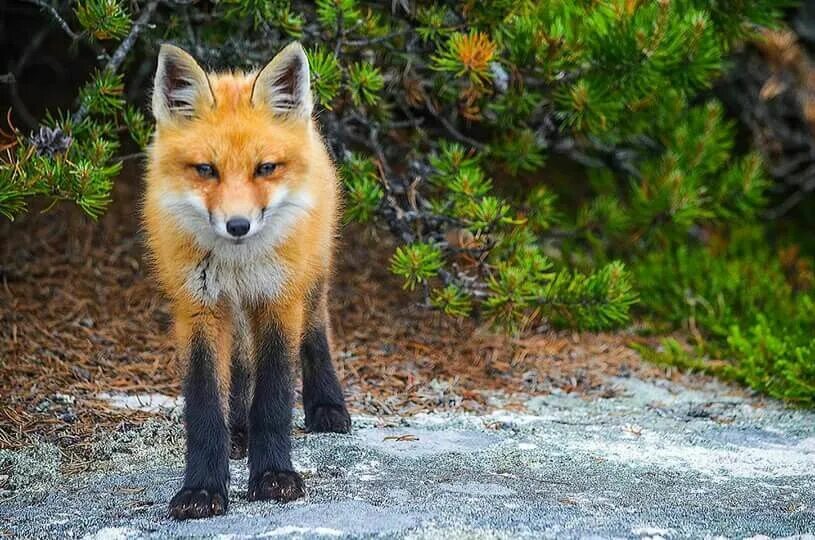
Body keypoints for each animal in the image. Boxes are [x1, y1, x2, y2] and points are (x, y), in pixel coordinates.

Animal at [143, 40, 350, 520]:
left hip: (311, 278)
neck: (237, 265)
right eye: (206, 170)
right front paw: (202, 488)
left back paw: (327, 405)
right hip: (231, 314)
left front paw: (274, 476)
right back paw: (238, 432)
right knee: (237, 371)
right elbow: (205, 407)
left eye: (265, 168)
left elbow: (272, 399)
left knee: (316, 335)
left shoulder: (279, 301)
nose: (238, 225)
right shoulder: (197, 309)